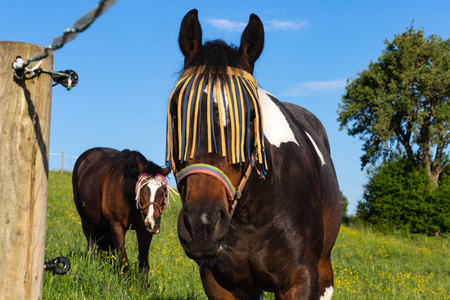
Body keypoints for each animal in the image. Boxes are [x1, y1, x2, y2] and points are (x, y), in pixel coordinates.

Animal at [72, 148, 171, 284]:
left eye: (163, 191)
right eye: (142, 189)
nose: (152, 223)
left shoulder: (144, 231)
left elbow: (144, 265)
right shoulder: (117, 227)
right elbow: (124, 262)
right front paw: (124, 286)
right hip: (86, 220)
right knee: (92, 246)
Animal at [166, 9, 342, 300]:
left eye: (250, 116)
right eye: (175, 112)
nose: (202, 224)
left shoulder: (300, 280)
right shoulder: (219, 283)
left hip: (323, 266)